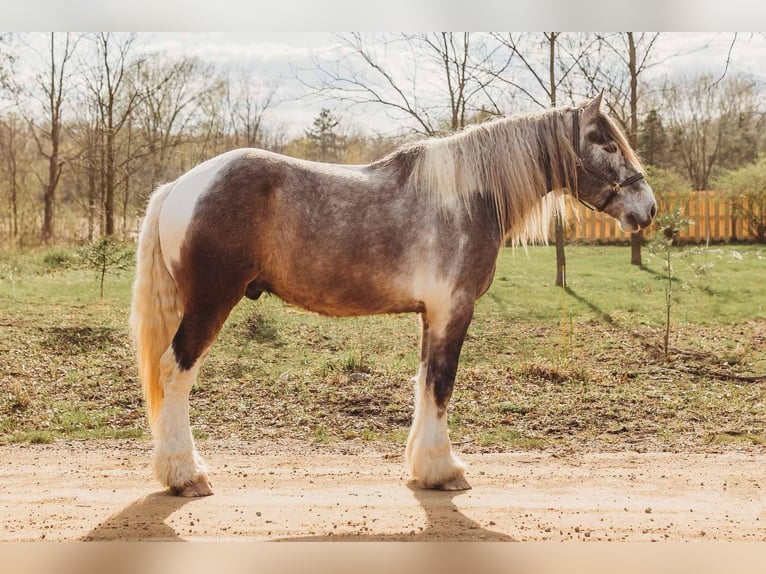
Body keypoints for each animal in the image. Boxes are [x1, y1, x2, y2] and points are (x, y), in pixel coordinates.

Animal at [130, 92, 656, 497]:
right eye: (607, 143)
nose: (647, 209)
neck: (467, 196)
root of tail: (181, 186)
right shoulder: (452, 310)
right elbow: (441, 384)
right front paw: (445, 470)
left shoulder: (432, 315)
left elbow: (424, 383)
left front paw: (425, 468)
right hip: (210, 304)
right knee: (175, 373)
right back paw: (186, 475)